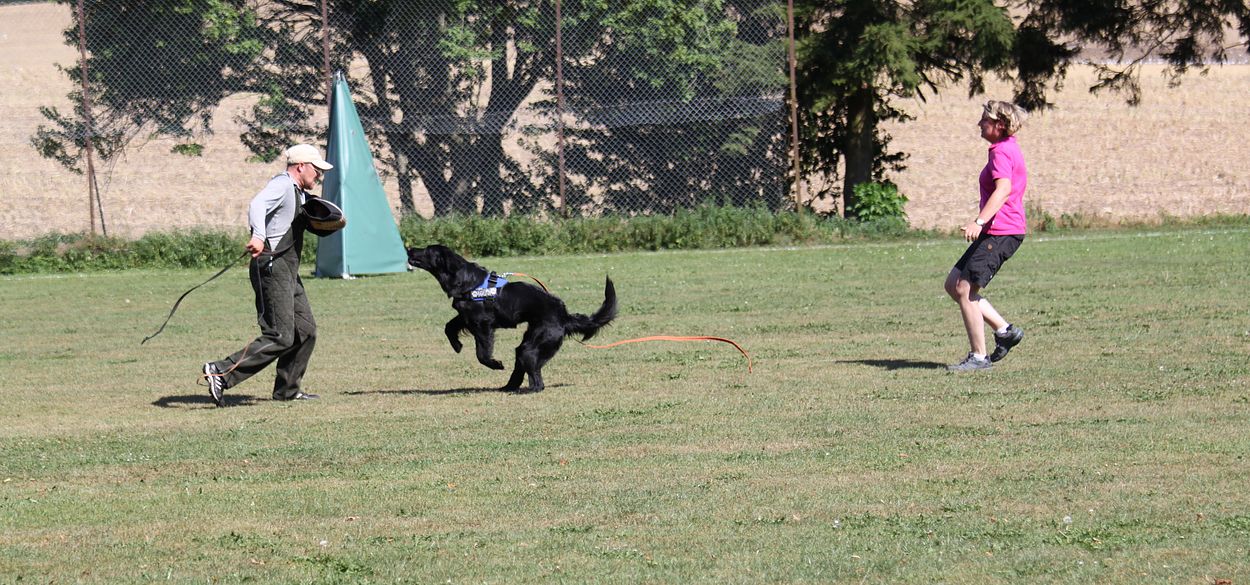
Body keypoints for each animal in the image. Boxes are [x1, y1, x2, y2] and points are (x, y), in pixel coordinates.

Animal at [407, 245, 617, 392]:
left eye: (427, 250)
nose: (409, 248)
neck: (464, 279)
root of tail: (564, 315)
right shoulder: (465, 315)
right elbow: (448, 327)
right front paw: (457, 345)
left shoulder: (482, 323)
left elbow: (482, 354)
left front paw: (495, 364)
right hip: (528, 341)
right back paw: (508, 387)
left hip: (535, 344)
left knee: (536, 377)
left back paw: (528, 389)